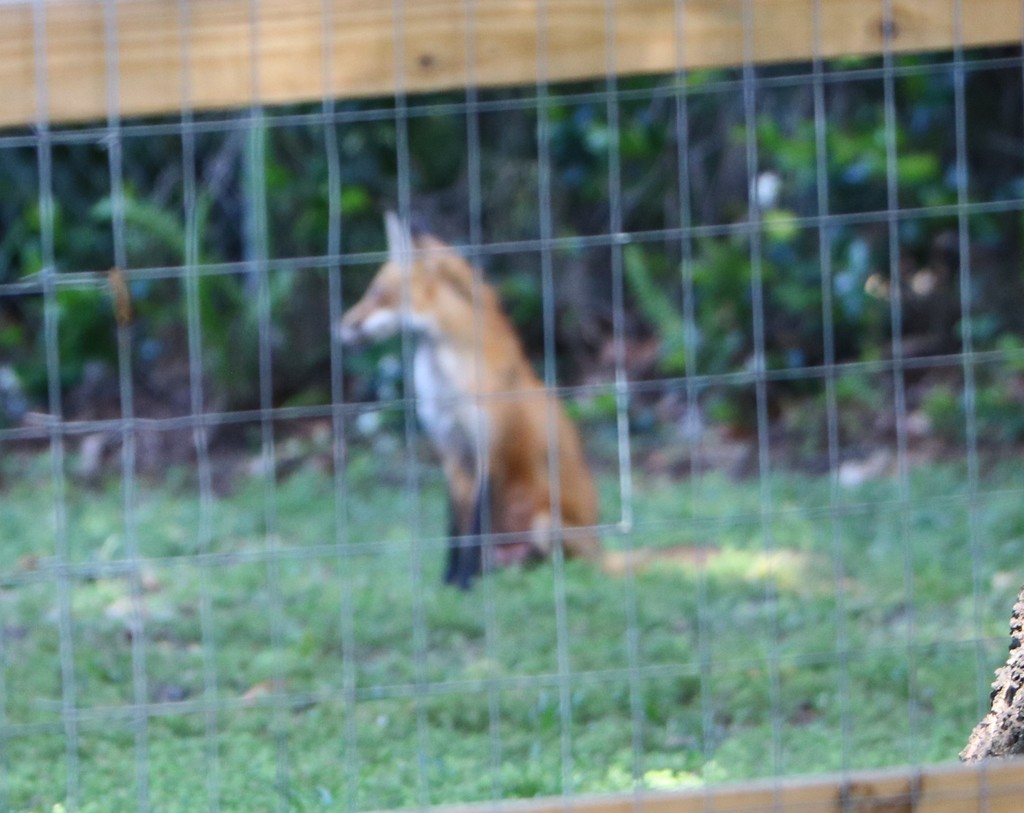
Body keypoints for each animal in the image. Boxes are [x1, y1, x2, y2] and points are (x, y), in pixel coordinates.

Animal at [336, 213, 602, 588]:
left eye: (376, 292)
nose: (338, 328)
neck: (446, 386)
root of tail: (603, 551)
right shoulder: (451, 454)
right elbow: (455, 530)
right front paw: (448, 581)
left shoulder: (487, 453)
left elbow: (474, 530)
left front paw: (464, 584)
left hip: (545, 523)